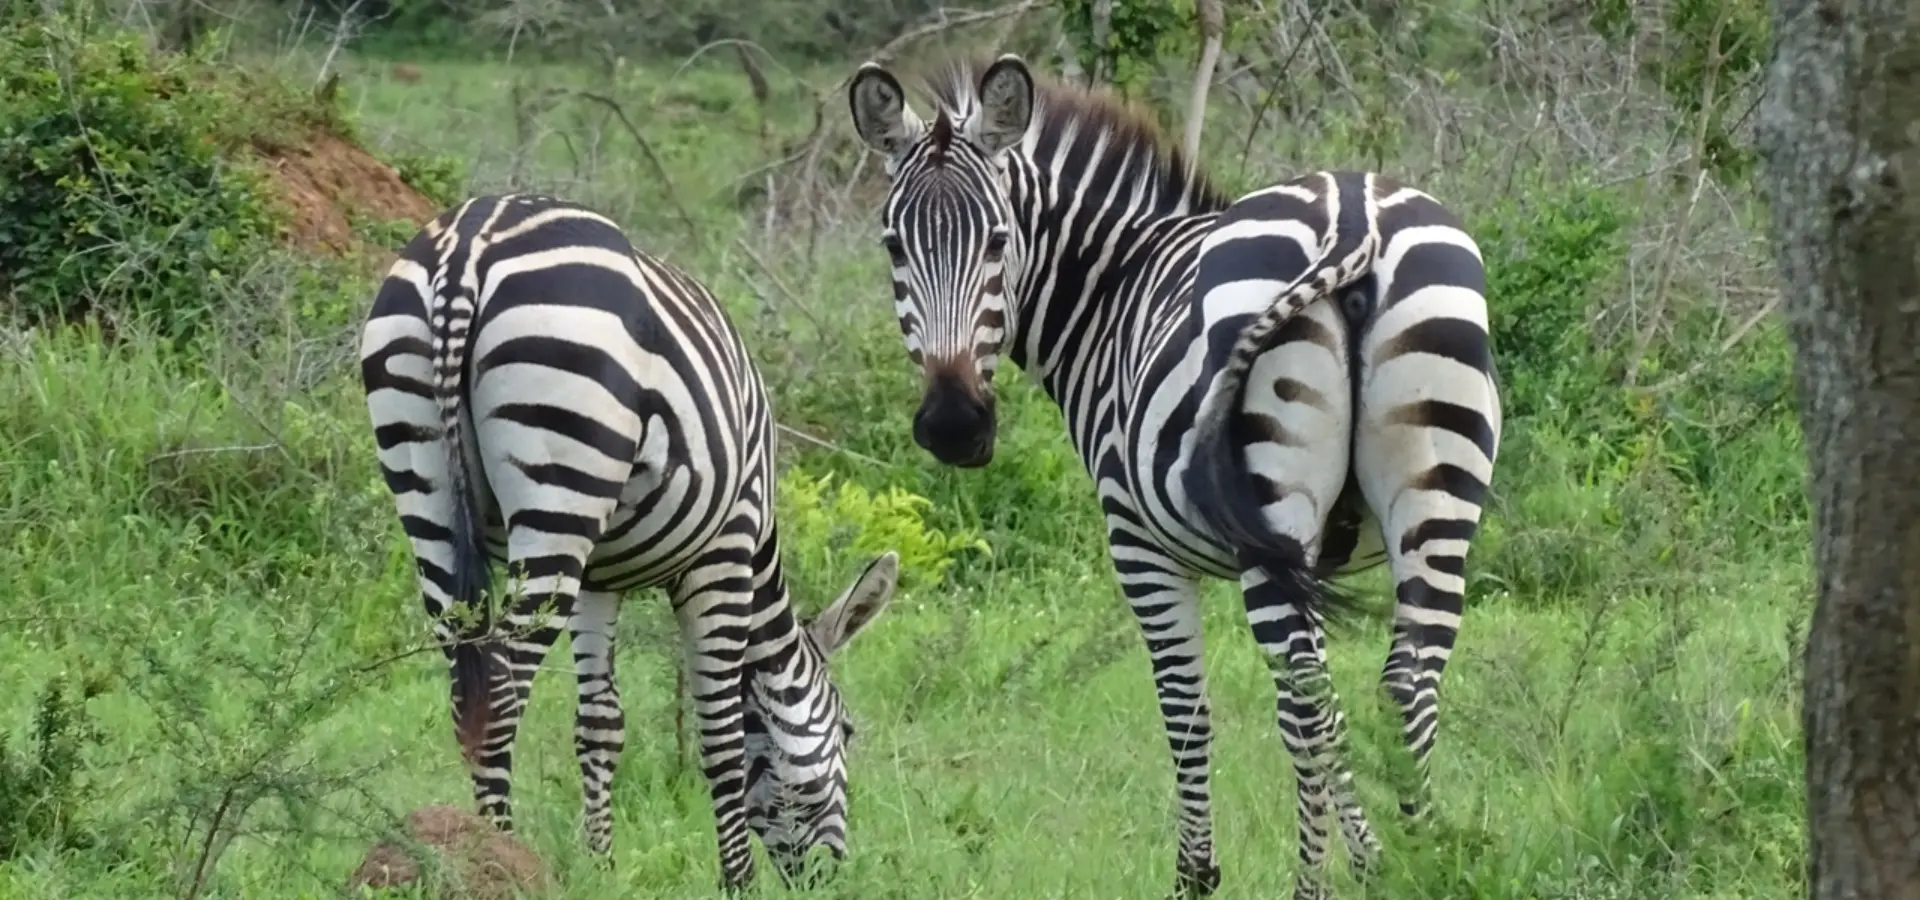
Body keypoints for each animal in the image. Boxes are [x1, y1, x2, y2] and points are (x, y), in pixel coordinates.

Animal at [358, 193, 899, 890]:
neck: (761, 552)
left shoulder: (599, 579)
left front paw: (602, 865)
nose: (828, 878)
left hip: (425, 481)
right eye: (849, 731)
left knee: (464, 691)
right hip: (562, 477)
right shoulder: (724, 552)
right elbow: (721, 733)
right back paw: (499, 858)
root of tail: (471, 243)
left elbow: (600, 723)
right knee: (500, 694)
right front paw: (736, 880)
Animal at [845, 55, 1498, 898]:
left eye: (997, 241)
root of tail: (1354, 217)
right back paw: (1427, 863)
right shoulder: (1318, 559)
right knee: (1403, 687)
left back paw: (1310, 884)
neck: (1111, 291)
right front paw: (1378, 860)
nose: (954, 425)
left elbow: (1186, 709)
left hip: (1270, 518)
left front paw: (1198, 873)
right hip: (1434, 500)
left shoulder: (1137, 542)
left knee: (1305, 703)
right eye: (894, 246)